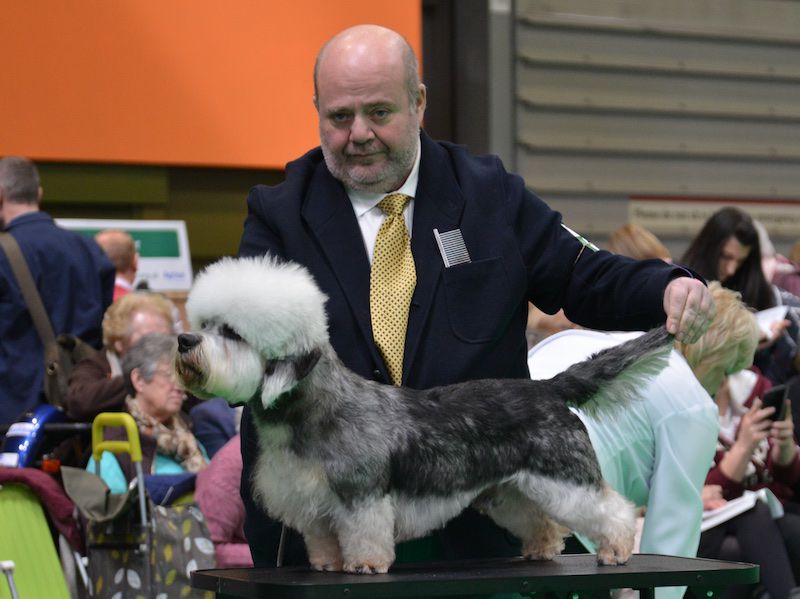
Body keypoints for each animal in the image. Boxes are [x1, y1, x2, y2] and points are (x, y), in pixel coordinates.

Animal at [177, 255, 676, 576]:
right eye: (204, 325)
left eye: (232, 333)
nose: (183, 340)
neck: (314, 411)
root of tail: (548, 386)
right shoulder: (313, 502)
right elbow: (322, 539)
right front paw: (327, 565)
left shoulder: (362, 494)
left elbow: (365, 533)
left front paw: (364, 564)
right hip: (508, 490)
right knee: (541, 520)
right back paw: (540, 549)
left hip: (564, 476)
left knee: (610, 509)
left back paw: (616, 549)